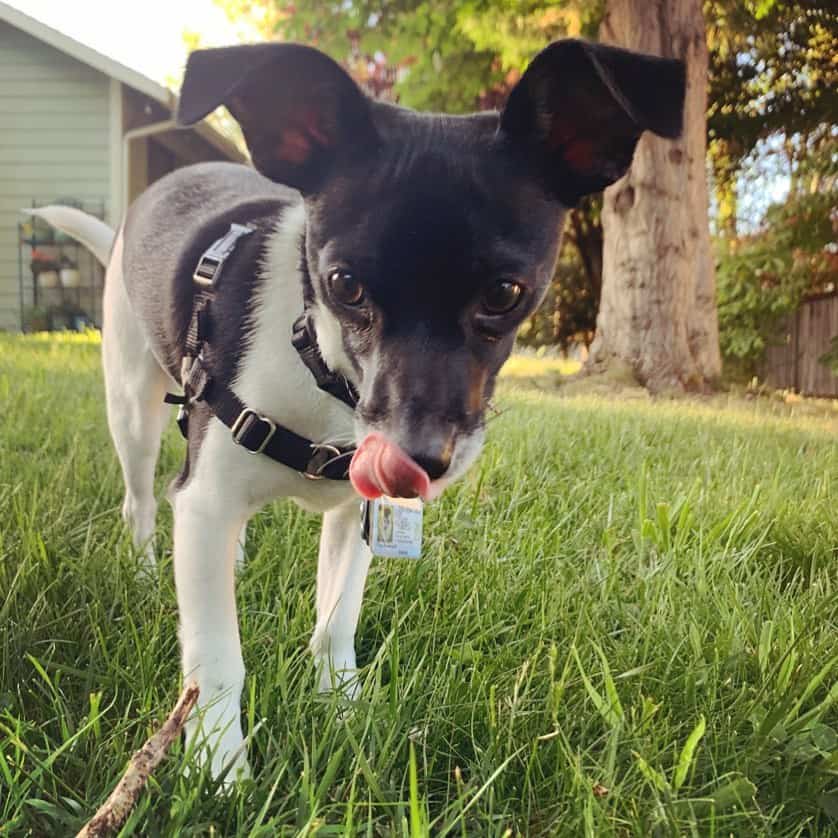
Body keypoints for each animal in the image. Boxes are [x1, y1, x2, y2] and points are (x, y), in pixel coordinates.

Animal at [36, 37, 684, 780]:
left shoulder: (354, 512)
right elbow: (217, 656)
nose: (417, 458)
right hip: (132, 405)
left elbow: (335, 622)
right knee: (140, 498)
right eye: (343, 284)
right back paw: (148, 565)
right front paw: (221, 768)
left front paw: (342, 708)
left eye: (505, 292)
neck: (317, 370)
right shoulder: (205, 500)